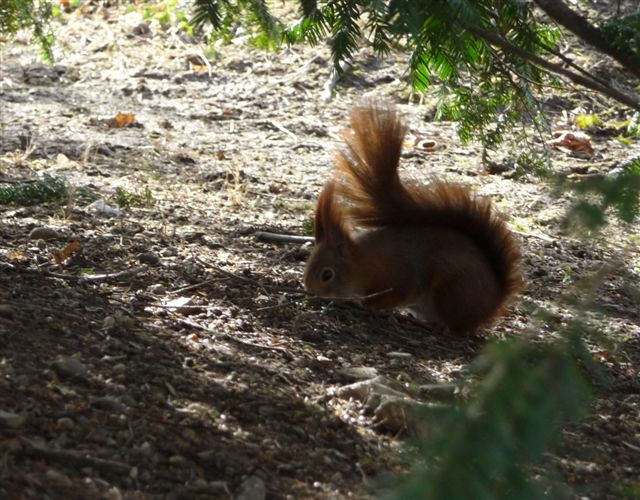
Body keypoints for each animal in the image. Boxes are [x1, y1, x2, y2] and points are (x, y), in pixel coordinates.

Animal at [302, 100, 524, 336]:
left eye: (327, 274)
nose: (309, 290)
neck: (361, 261)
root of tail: (492, 304)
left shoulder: (399, 276)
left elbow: (402, 292)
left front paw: (369, 305)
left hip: (451, 290)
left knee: (458, 328)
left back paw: (440, 327)